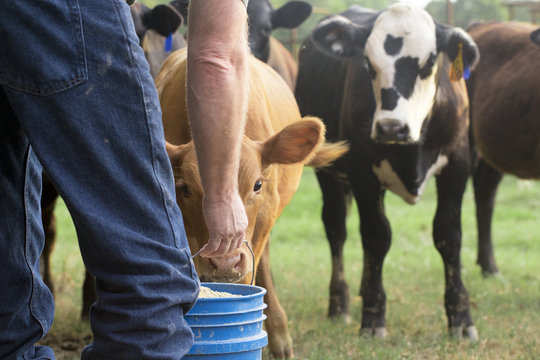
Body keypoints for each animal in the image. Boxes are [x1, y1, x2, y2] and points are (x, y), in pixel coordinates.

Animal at [296, 3, 480, 338]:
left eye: (429, 62)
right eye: (368, 63)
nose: (391, 127)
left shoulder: (458, 163)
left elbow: (449, 235)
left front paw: (460, 318)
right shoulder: (362, 171)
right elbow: (376, 236)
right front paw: (372, 316)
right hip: (328, 173)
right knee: (337, 229)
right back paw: (340, 304)